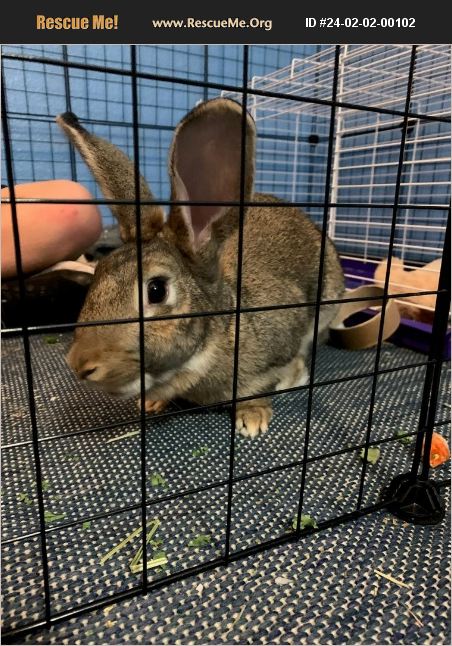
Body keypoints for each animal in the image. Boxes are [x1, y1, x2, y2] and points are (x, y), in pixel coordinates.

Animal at [57, 98, 344, 439]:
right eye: (99, 271)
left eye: (156, 290)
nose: (80, 364)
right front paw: (151, 403)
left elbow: (268, 382)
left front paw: (253, 418)